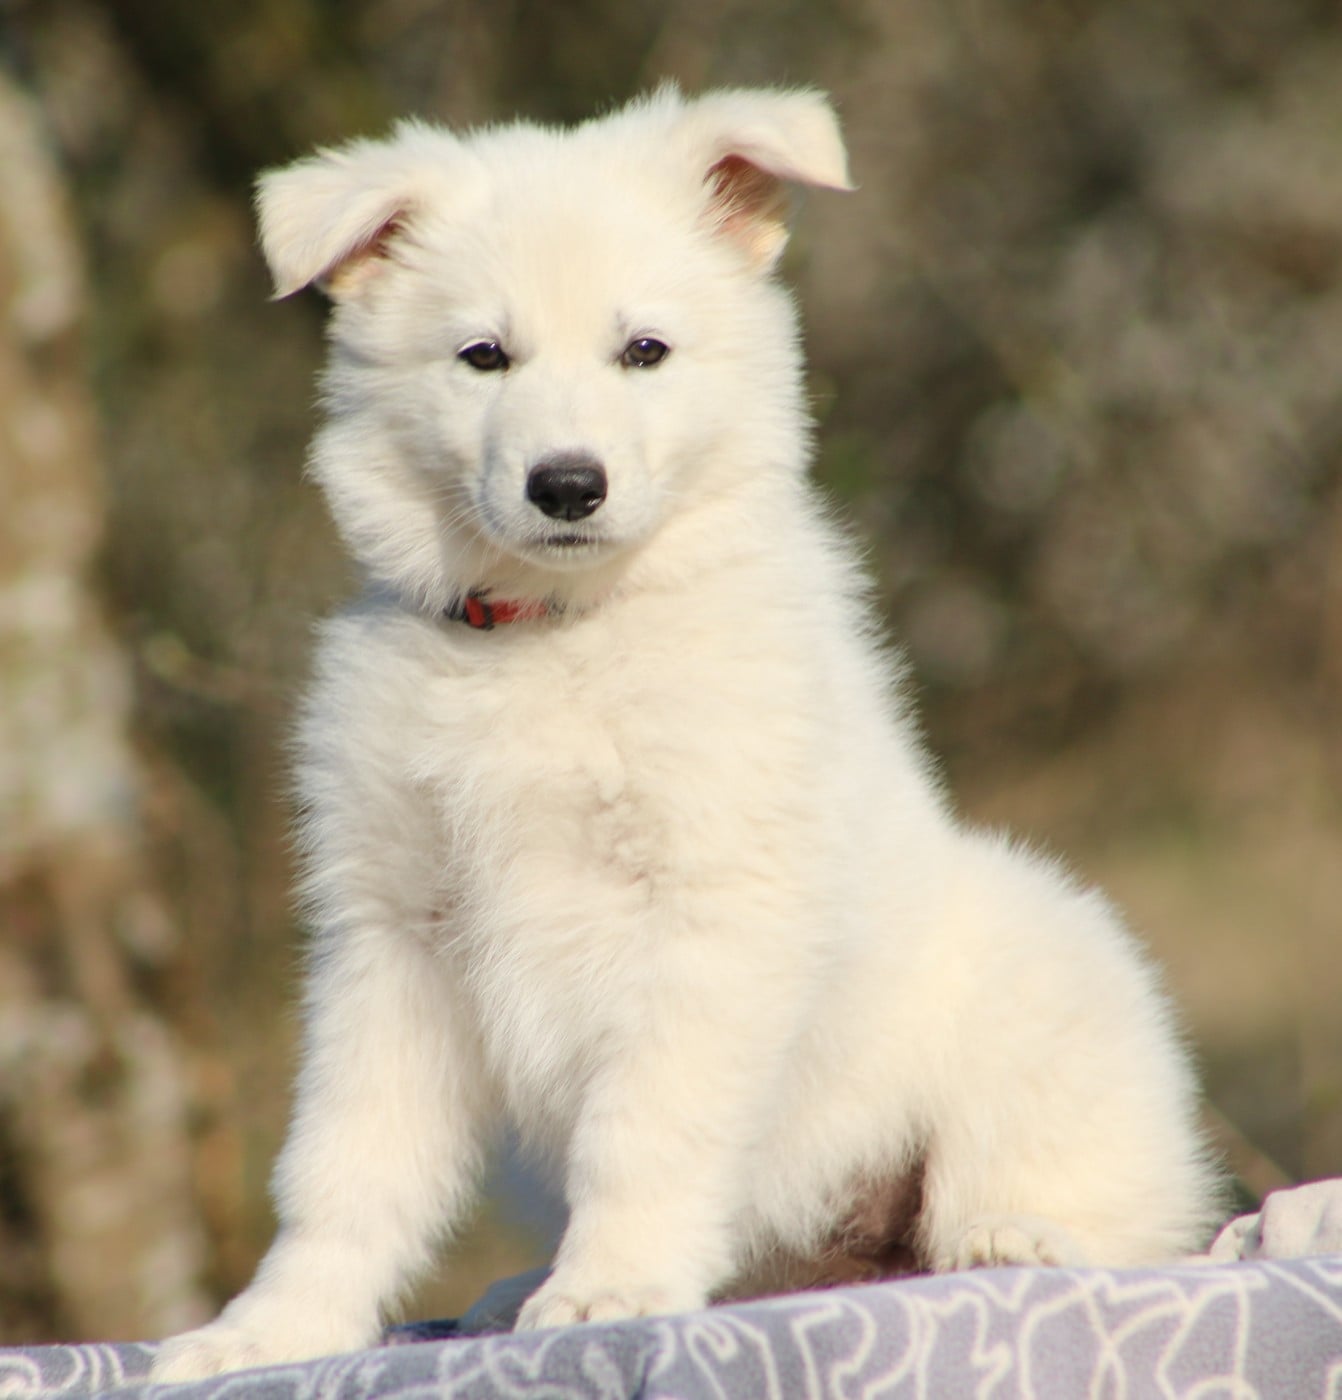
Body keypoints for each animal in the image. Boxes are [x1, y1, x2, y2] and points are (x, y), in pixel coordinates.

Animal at [152, 85, 1222, 1380]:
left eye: (644, 351)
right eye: (482, 355)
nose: (568, 485)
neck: (552, 632)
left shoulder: (706, 910)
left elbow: (641, 1129)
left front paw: (607, 1292)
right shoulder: (392, 935)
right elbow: (344, 1165)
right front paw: (271, 1329)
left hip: (1042, 981)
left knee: (1095, 1207)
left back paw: (1011, 1236)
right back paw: (517, 1286)